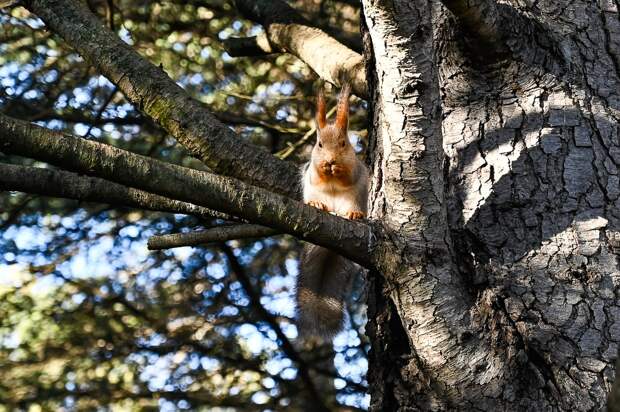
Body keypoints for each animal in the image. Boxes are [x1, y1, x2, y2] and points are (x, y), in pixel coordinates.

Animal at [296, 83, 368, 338]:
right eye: (319, 144)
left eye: (344, 144)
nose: (330, 160)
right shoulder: (312, 173)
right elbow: (318, 175)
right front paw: (326, 168)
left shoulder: (356, 169)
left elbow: (348, 174)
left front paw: (337, 168)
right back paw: (318, 205)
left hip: (354, 199)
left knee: (352, 209)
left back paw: (353, 214)